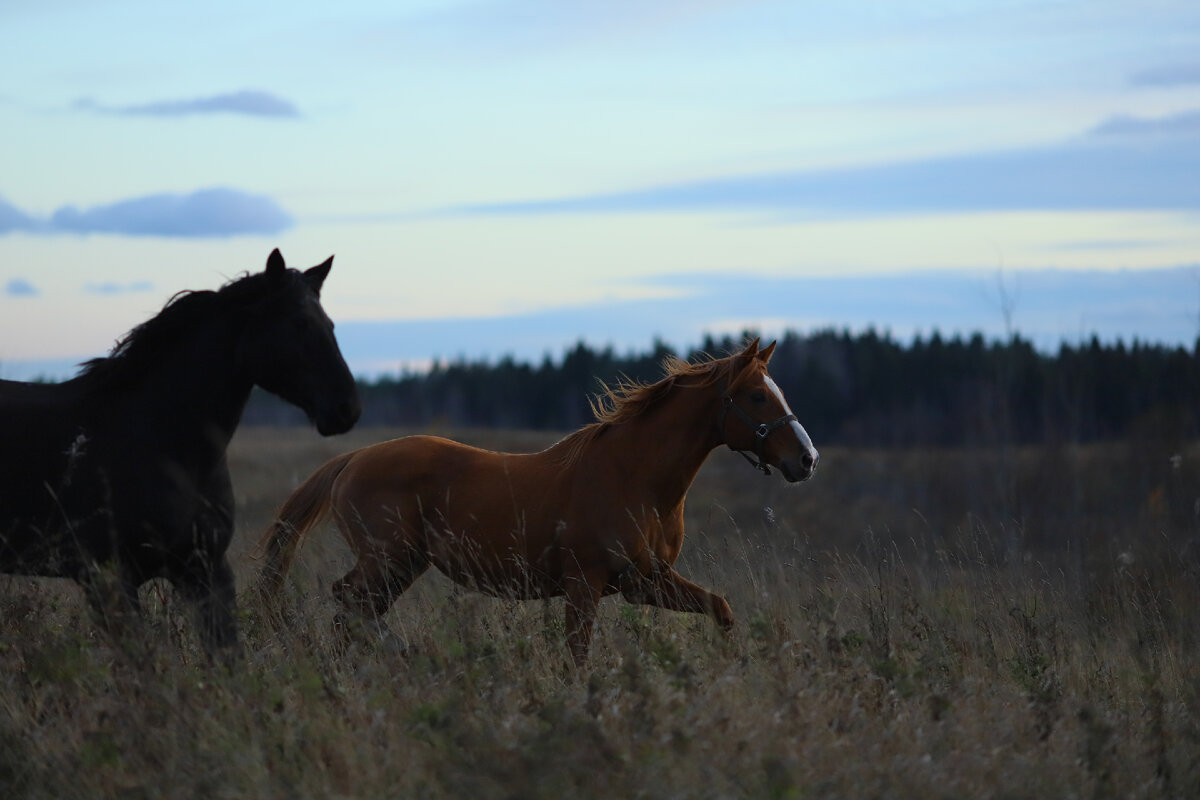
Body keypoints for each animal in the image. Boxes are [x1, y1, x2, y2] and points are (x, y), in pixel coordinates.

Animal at [0, 248, 360, 657]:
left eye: (330, 324)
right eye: (299, 323)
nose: (346, 408)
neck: (164, 441)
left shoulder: (206, 571)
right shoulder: (109, 578)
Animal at [253, 340, 816, 666]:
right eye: (757, 396)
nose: (806, 459)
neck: (635, 477)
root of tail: (352, 459)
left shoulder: (644, 582)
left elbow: (720, 609)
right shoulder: (584, 584)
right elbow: (576, 659)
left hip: (401, 565)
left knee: (352, 612)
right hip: (386, 559)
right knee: (348, 605)